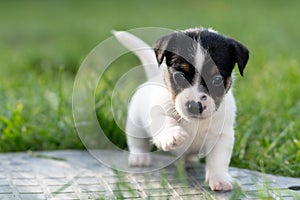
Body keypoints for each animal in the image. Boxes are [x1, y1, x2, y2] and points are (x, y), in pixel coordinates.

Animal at [112, 27, 248, 191]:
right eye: (180, 76)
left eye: (217, 80)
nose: (195, 105)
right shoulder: (156, 113)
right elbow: (165, 121)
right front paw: (172, 134)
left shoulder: (222, 136)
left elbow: (218, 159)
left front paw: (220, 179)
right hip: (135, 125)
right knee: (137, 142)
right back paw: (139, 158)